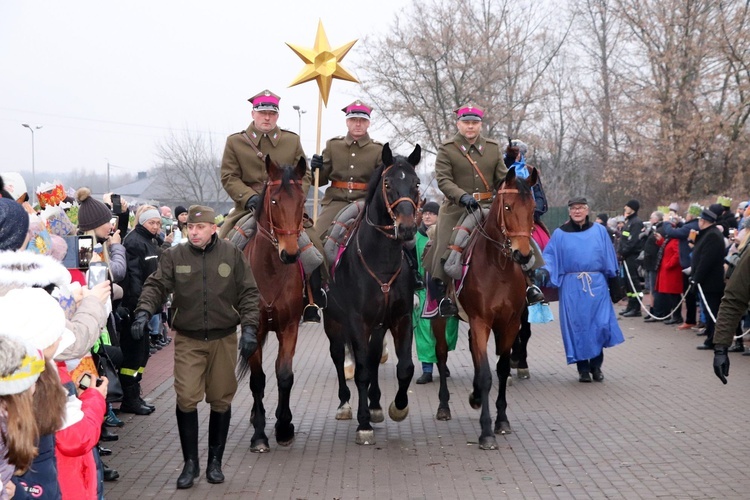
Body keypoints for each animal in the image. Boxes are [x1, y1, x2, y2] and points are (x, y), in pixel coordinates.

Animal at [428, 167, 540, 450]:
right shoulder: (481, 321)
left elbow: (500, 369)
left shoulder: (510, 323)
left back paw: (476, 397)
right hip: (439, 319)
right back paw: (443, 406)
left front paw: (501, 420)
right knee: (441, 355)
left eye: (533, 208)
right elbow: (487, 375)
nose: (523, 255)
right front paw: (487, 431)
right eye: (508, 206)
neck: (498, 266)